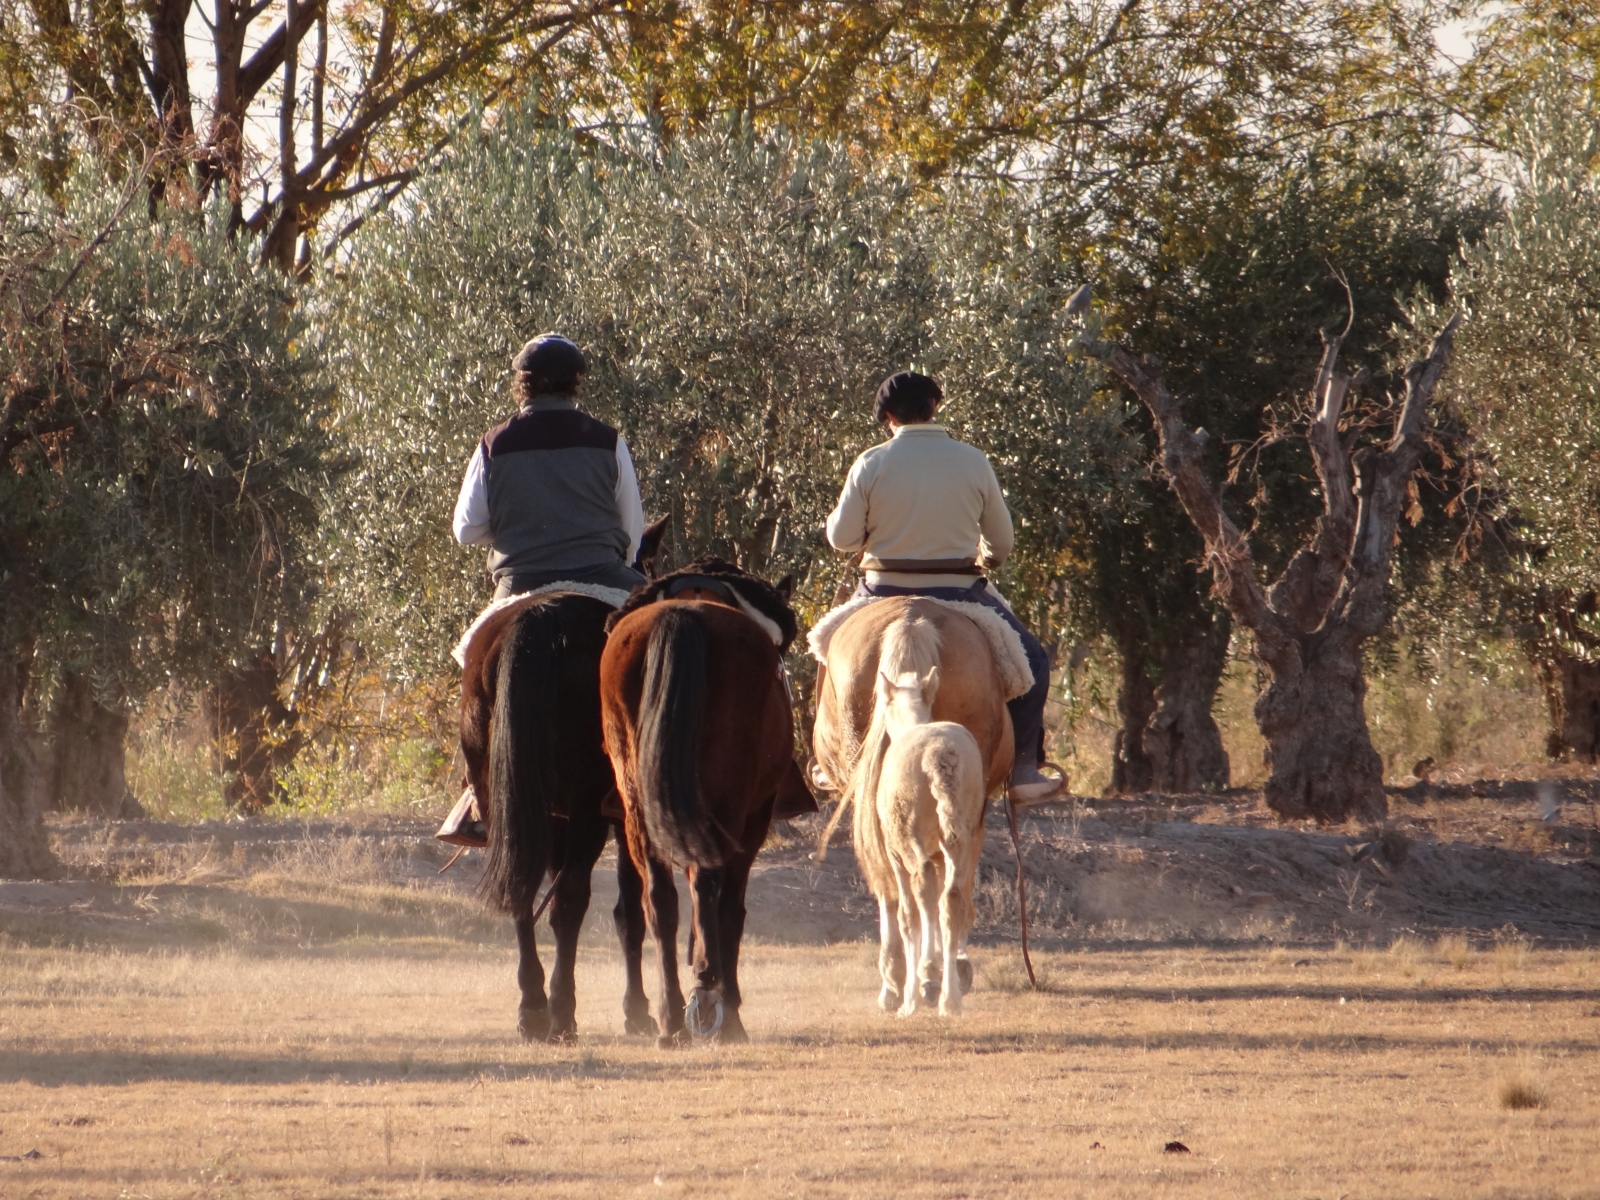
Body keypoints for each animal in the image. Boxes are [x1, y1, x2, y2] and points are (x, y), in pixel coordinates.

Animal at [454, 518, 665, 1043]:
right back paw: (563, 1013)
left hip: (510, 803)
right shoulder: (616, 819)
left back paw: (533, 1009)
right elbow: (629, 913)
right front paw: (636, 1011)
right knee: (569, 902)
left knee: (522, 889)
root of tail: (541, 617)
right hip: (589, 810)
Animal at [598, 560, 806, 1049]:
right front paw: (725, 999)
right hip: (730, 806)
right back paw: (712, 1001)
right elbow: (729, 908)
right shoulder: (753, 817)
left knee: (660, 900)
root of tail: (685, 615)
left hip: (639, 807)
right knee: (710, 891)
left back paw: (671, 1016)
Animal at [812, 601, 1011, 1017]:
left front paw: (911, 983)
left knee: (917, 895)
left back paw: (911, 991)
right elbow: (936, 906)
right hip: (960, 836)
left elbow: (907, 911)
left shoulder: (895, 849)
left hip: (909, 844)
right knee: (952, 899)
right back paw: (948, 996)